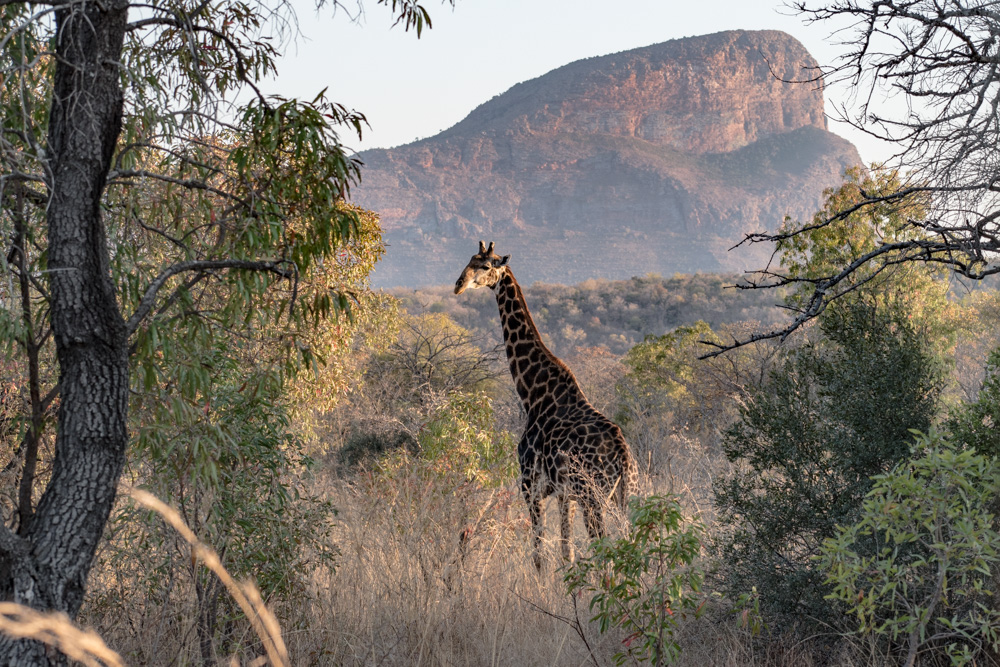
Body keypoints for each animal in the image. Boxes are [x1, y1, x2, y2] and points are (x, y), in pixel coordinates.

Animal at [454, 241, 638, 568]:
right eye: (469, 260)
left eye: (486, 266)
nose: (458, 285)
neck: (532, 394)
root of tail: (623, 457)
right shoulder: (565, 495)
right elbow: (567, 552)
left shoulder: (531, 484)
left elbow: (539, 553)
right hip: (624, 496)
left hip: (594, 496)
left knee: (605, 548)